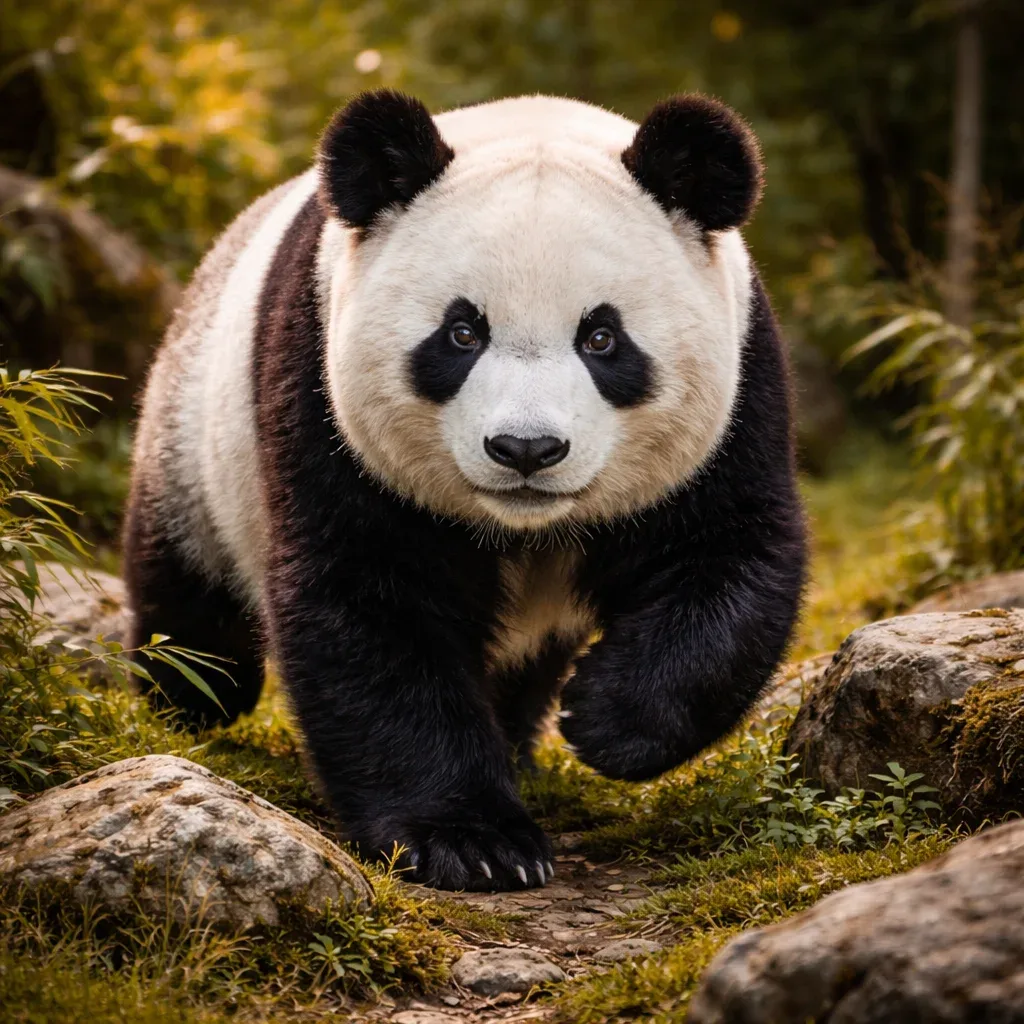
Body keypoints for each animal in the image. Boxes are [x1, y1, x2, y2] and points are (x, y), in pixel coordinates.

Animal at [124, 90, 807, 892]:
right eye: (461, 333)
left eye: (602, 339)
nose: (526, 449)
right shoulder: (322, 405)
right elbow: (370, 605)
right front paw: (472, 842)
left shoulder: (739, 393)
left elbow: (732, 556)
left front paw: (604, 720)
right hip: (193, 439)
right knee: (188, 592)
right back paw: (190, 695)